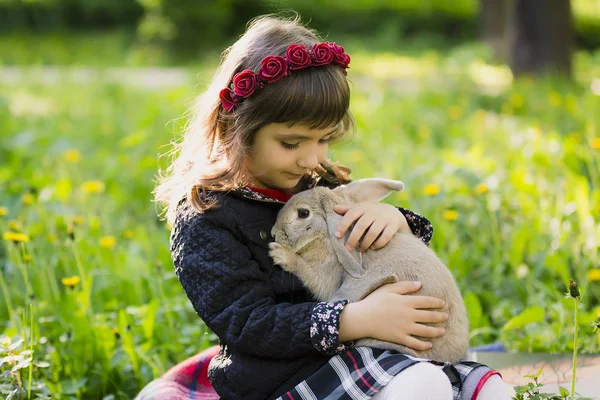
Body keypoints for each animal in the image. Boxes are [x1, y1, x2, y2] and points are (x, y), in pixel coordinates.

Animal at [270, 177, 472, 362]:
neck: (324, 235)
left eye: (303, 213)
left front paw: (279, 253)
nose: (273, 234)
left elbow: (306, 271)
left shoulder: (327, 274)